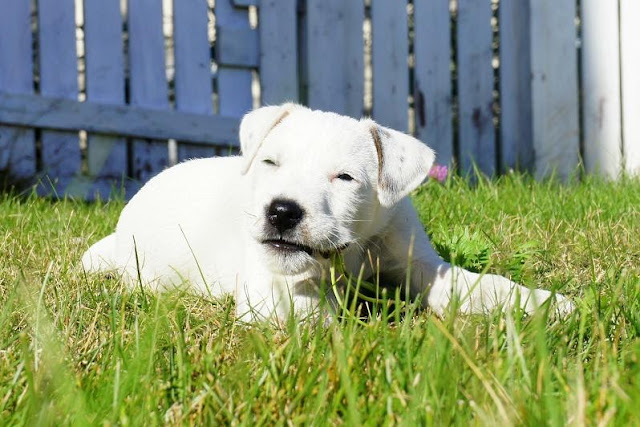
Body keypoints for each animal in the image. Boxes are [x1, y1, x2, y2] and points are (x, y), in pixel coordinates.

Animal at [82, 103, 572, 321]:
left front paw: (542, 302)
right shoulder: (274, 287)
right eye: (270, 162)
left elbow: (476, 286)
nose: (281, 212)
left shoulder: (419, 263)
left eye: (345, 178)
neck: (348, 253)